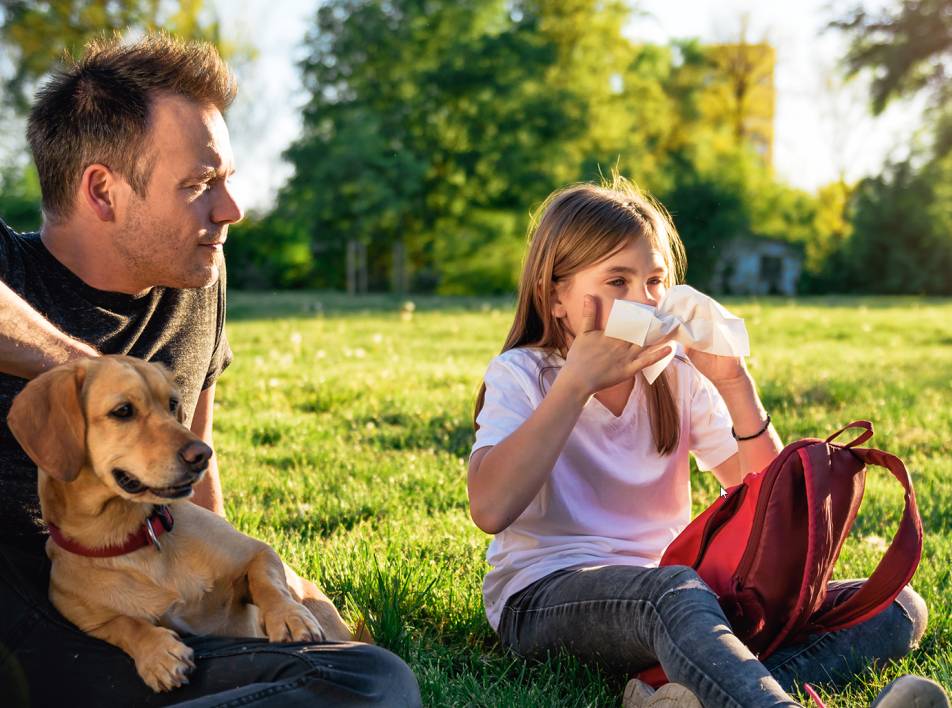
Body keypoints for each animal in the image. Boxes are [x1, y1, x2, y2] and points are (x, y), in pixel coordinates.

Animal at [9, 354, 366, 692]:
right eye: (123, 411)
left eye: (172, 404)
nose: (202, 454)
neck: (134, 537)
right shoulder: (89, 620)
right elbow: (125, 624)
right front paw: (157, 654)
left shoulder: (256, 553)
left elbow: (268, 582)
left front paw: (289, 617)